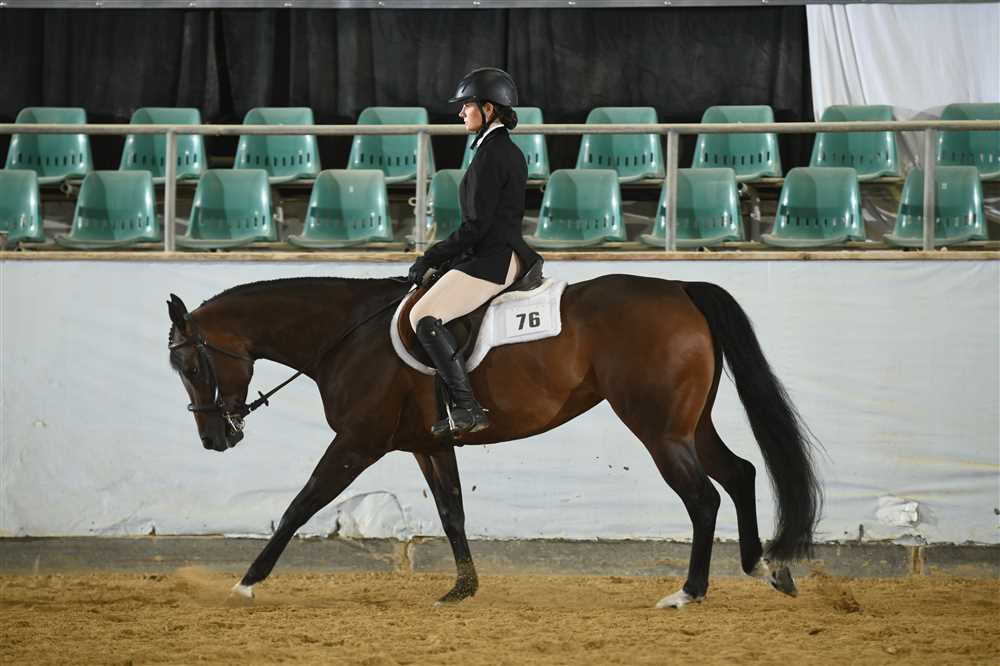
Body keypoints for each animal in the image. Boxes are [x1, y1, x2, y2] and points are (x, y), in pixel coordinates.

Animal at [166, 273, 821, 609]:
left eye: (191, 366)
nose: (212, 440)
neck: (347, 333)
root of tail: (680, 288)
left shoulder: (358, 442)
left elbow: (300, 505)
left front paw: (247, 582)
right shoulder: (428, 444)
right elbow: (452, 511)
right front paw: (462, 587)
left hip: (658, 428)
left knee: (703, 497)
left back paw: (690, 592)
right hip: (688, 423)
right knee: (739, 473)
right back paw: (766, 568)